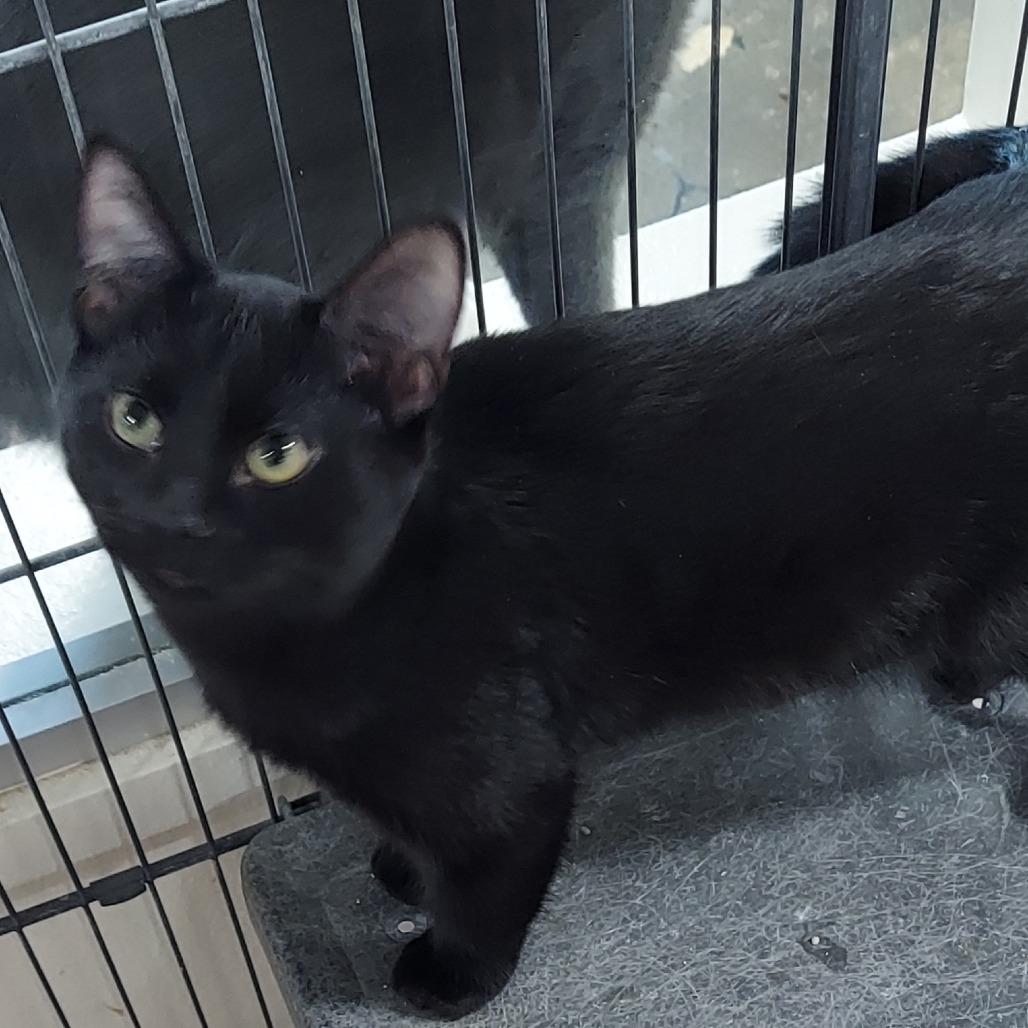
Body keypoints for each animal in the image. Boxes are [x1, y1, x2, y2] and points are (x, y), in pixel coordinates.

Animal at [61, 132, 1028, 1019]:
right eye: (134, 419)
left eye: (278, 455)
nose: (174, 515)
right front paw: (402, 865)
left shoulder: (514, 783)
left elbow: (485, 886)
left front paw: (451, 975)